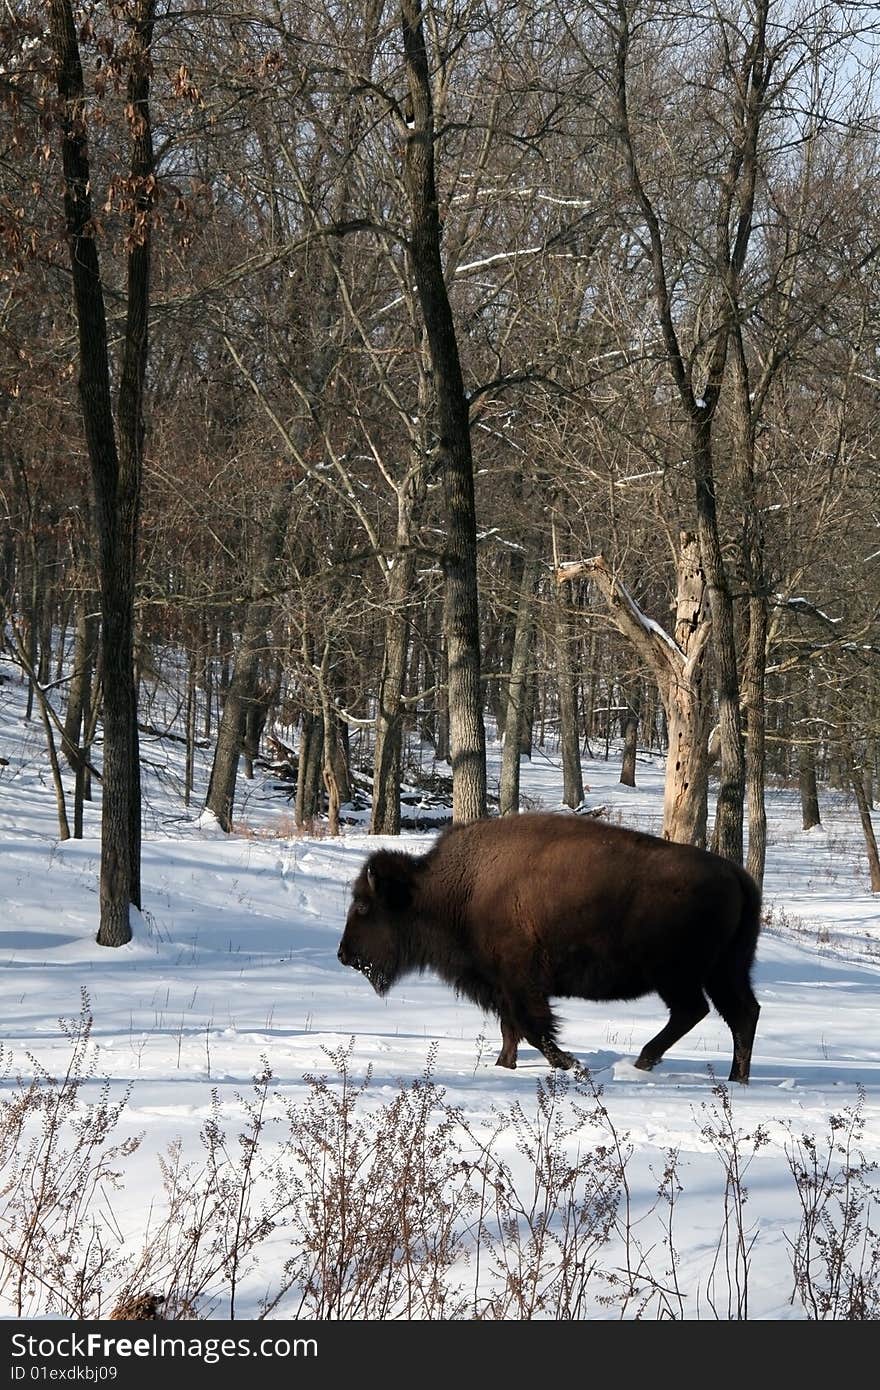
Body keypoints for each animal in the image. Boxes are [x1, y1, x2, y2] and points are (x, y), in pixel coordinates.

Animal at [337, 811, 761, 1084]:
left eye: (364, 906)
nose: (343, 955)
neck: (460, 889)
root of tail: (737, 874)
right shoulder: (501, 984)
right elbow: (511, 1027)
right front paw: (503, 1065)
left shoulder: (520, 982)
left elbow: (533, 1026)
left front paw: (569, 1063)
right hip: (726, 969)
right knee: (743, 1013)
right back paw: (736, 1079)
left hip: (677, 975)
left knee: (694, 1011)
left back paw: (644, 1061)